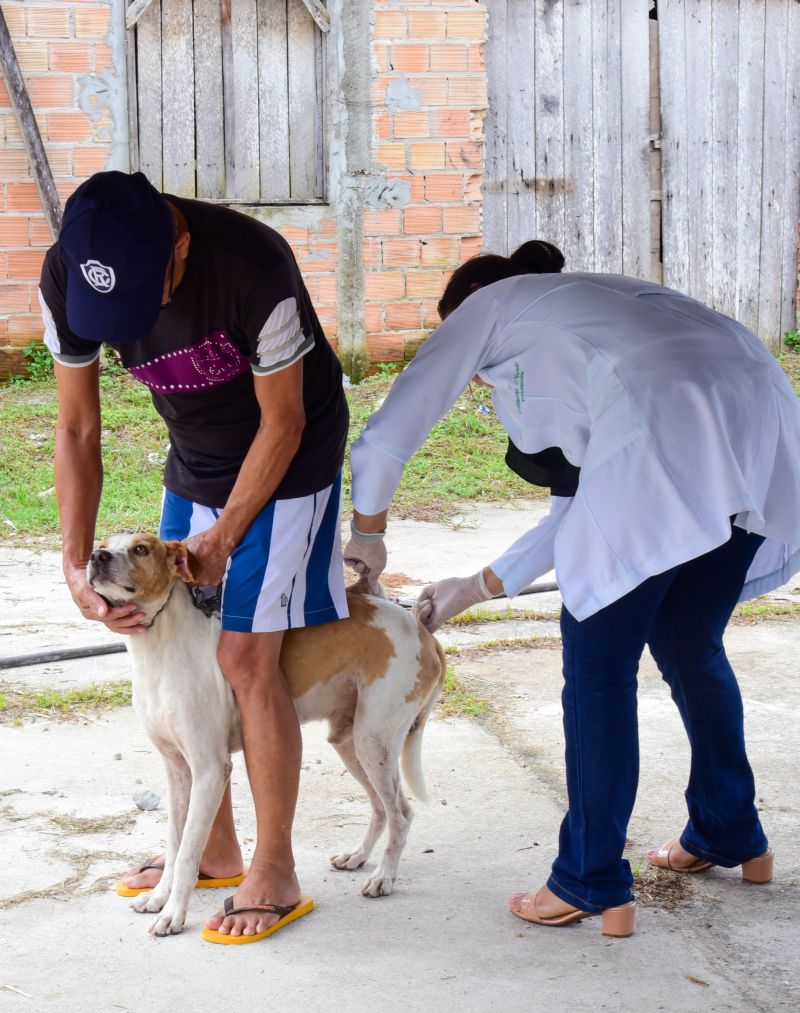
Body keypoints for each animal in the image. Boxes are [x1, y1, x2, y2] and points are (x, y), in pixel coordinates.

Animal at [89, 534, 451, 936]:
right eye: (104, 543)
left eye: (141, 549)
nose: (96, 556)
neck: (157, 647)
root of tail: (421, 630)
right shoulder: (178, 770)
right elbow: (174, 842)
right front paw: (157, 897)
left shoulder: (210, 770)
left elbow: (187, 854)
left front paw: (173, 914)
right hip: (352, 743)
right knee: (380, 808)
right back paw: (357, 857)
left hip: (374, 742)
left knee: (401, 813)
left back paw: (384, 878)